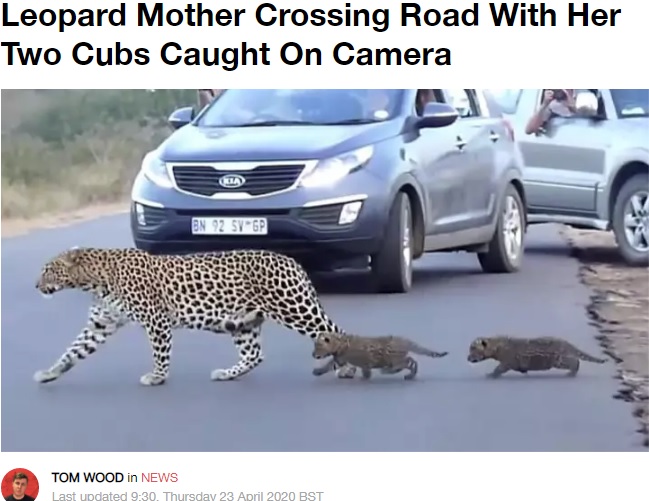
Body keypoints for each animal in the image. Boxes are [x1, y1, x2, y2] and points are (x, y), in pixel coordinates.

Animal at [33, 248, 352, 384]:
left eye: (48, 270)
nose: (36, 285)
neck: (95, 280)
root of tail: (292, 261)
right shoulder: (100, 324)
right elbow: (73, 350)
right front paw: (50, 372)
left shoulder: (156, 320)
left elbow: (160, 352)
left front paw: (157, 377)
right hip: (244, 322)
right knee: (254, 355)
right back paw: (226, 374)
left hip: (295, 309)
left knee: (335, 332)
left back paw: (347, 369)